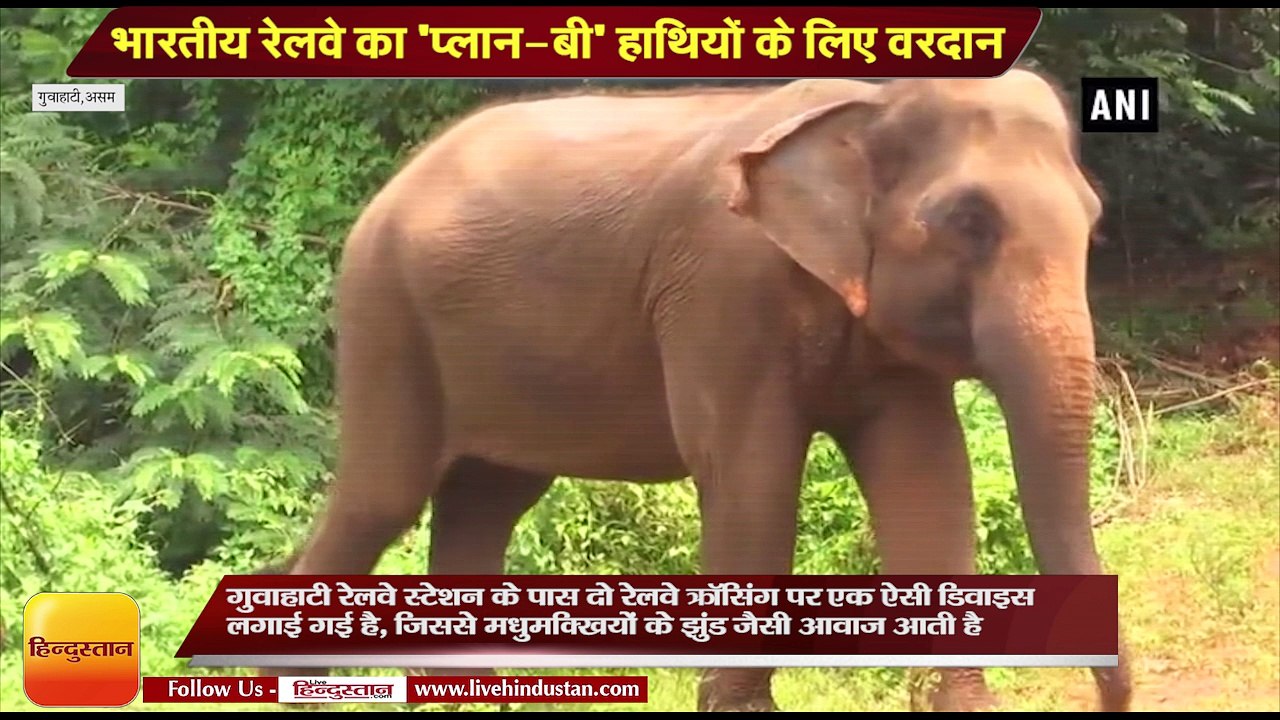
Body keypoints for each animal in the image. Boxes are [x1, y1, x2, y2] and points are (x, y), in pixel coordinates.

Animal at [276, 69, 1132, 712]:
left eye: (1094, 222)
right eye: (969, 221)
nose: (1111, 693)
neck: (868, 102)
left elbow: (927, 483)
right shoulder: (722, 289)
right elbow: (752, 479)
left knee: (485, 502)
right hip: (384, 314)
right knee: (382, 496)